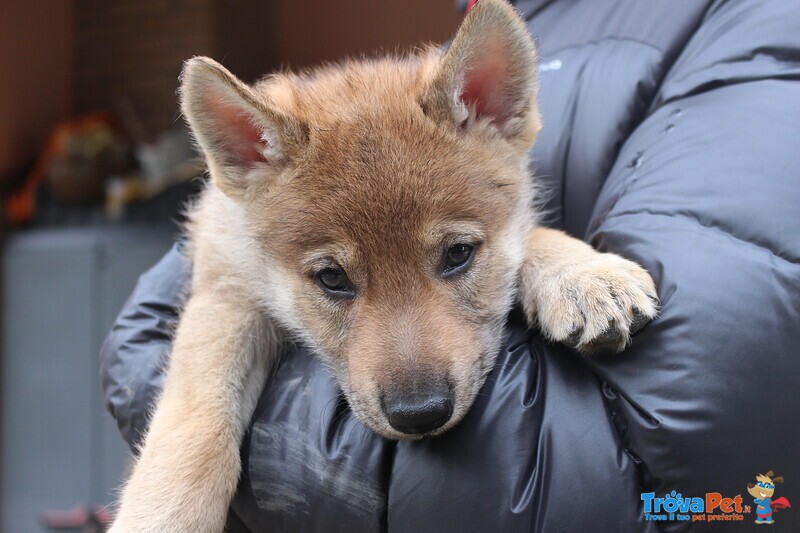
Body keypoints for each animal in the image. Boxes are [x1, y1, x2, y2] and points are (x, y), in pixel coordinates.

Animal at [111, 2, 656, 528]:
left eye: (459, 254)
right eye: (332, 278)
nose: (420, 414)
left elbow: (532, 234)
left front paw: (582, 275)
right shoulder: (224, 293)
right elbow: (196, 421)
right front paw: (160, 515)